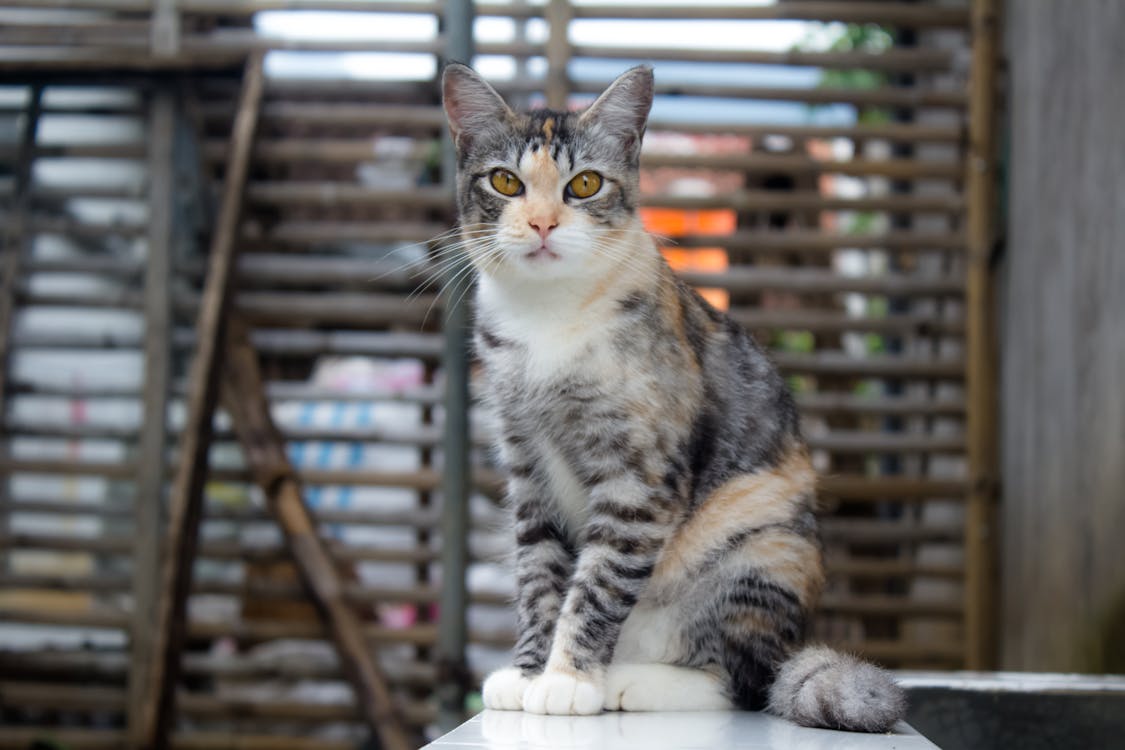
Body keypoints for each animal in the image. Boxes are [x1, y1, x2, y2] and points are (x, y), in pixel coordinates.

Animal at [438, 64, 904, 733]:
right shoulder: (526, 467)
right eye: (505, 180)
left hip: (760, 544)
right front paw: (528, 673)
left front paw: (567, 681)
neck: (547, 321)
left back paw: (629, 680)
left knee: (745, 679)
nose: (543, 224)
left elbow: (599, 582)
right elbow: (539, 572)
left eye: (584, 184)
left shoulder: (641, 477)